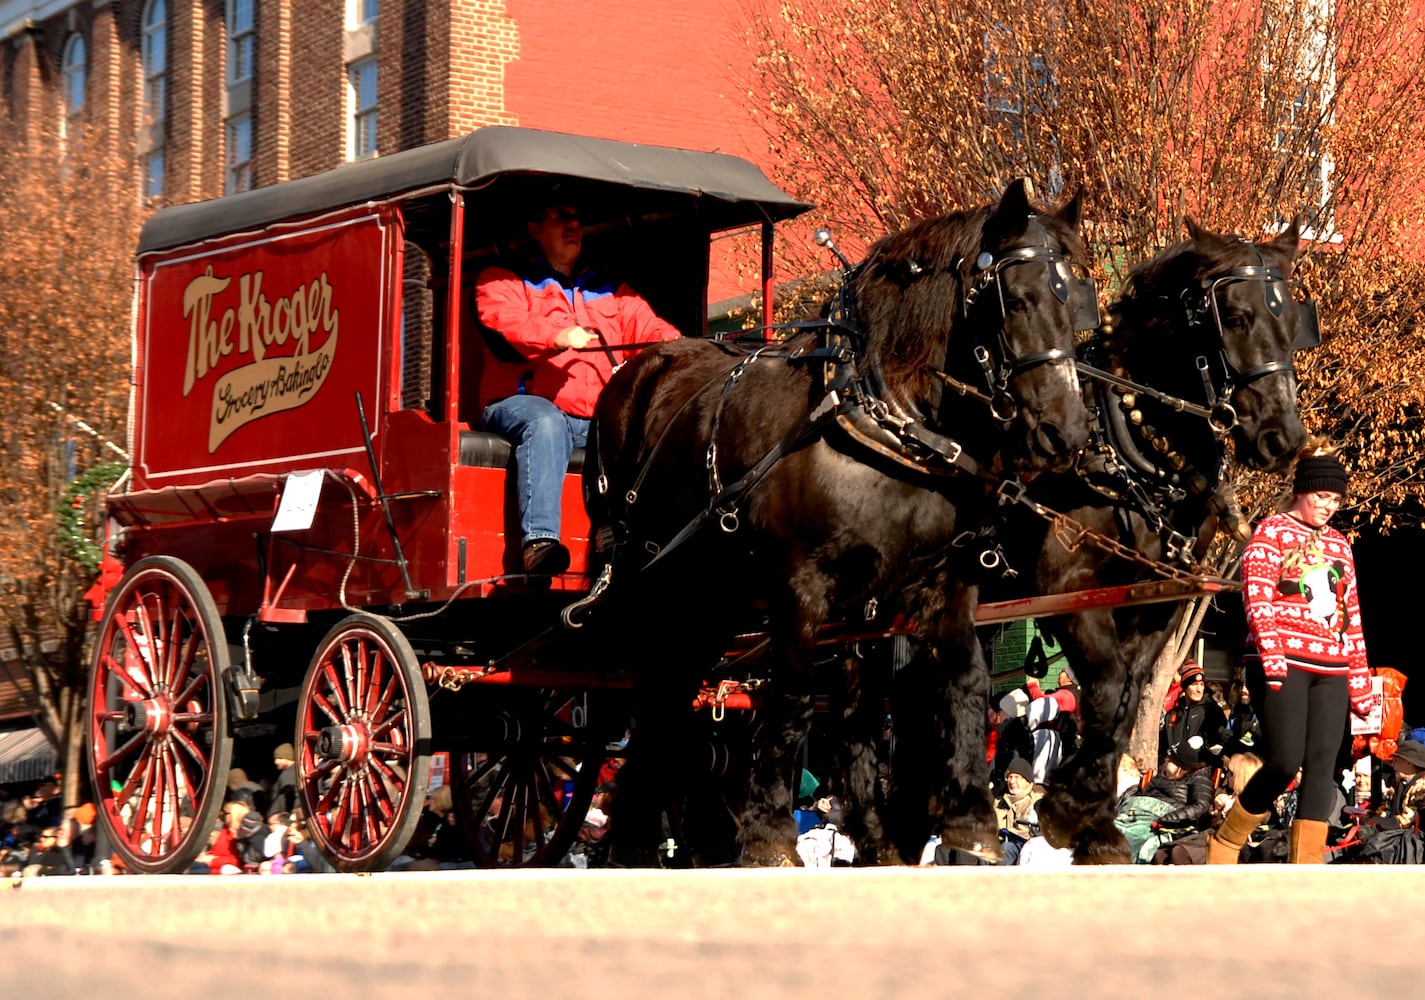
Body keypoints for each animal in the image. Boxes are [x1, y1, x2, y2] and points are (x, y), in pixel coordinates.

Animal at [584, 182, 1094, 871]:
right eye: (1013, 299)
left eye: (1077, 303)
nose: (1065, 432)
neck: (879, 421)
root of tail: (639, 369)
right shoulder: (800, 586)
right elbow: (798, 697)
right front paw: (770, 835)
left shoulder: (931, 584)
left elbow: (950, 685)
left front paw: (961, 823)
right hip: (651, 582)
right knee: (655, 692)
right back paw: (644, 834)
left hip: (711, 593)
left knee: (678, 690)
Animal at [991, 220, 1311, 871]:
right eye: (1233, 316)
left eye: (1293, 319)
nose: (1283, 437)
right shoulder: (1067, 588)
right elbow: (1108, 687)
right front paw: (1072, 811)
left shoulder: (1155, 601)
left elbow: (1125, 695)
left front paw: (1085, 816)